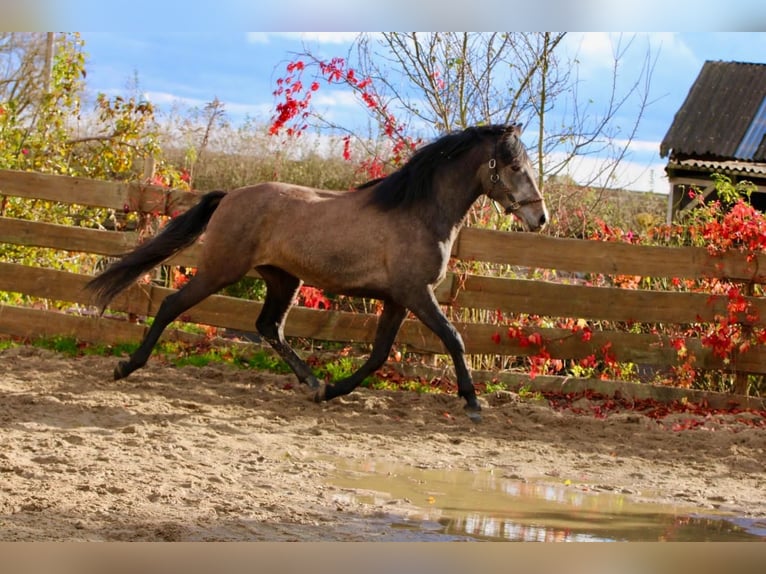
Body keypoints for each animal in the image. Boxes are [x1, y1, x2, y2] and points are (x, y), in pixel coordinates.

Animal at [86, 123, 548, 420]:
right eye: (514, 166)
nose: (540, 218)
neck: (418, 212)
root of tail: (230, 196)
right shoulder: (417, 294)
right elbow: (453, 339)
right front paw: (472, 403)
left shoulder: (398, 300)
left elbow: (379, 355)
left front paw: (330, 390)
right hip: (220, 270)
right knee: (171, 306)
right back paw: (125, 366)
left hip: (283, 279)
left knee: (269, 326)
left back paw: (311, 382)